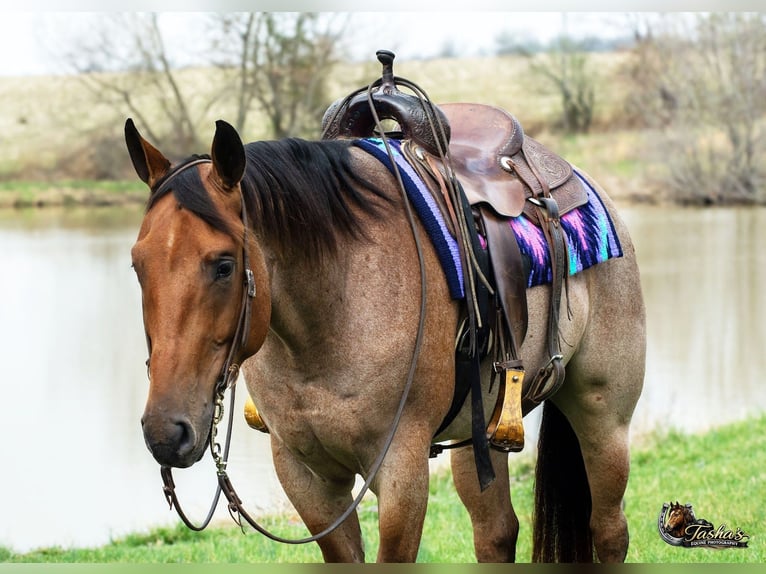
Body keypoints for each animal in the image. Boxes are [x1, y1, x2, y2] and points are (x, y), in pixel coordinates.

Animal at [126, 114, 645, 562]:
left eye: (224, 265)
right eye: (137, 264)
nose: (165, 432)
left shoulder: (400, 469)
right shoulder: (306, 475)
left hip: (603, 417)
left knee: (609, 530)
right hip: (484, 433)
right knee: (496, 533)